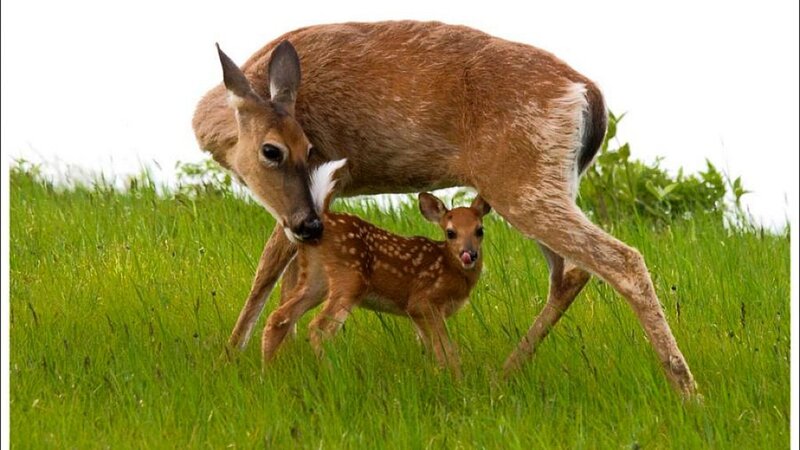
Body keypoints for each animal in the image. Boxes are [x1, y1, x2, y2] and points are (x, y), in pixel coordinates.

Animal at [259, 159, 492, 376]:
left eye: (480, 230)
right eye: (451, 233)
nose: (469, 254)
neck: (450, 268)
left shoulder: (415, 313)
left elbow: (430, 347)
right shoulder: (425, 302)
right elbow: (446, 349)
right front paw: (456, 379)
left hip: (316, 278)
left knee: (279, 317)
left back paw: (268, 371)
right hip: (349, 278)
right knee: (319, 327)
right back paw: (332, 372)